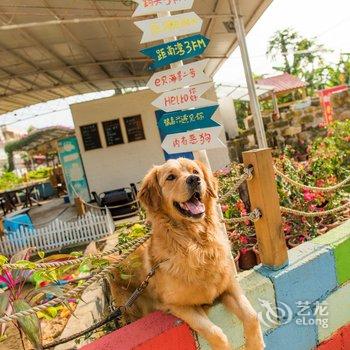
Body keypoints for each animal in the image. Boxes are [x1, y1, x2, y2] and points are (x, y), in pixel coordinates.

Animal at [110, 159, 264, 350]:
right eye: (170, 177)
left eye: (195, 171)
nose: (194, 179)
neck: (196, 245)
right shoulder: (177, 305)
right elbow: (216, 333)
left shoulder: (229, 285)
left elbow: (252, 316)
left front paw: (255, 344)